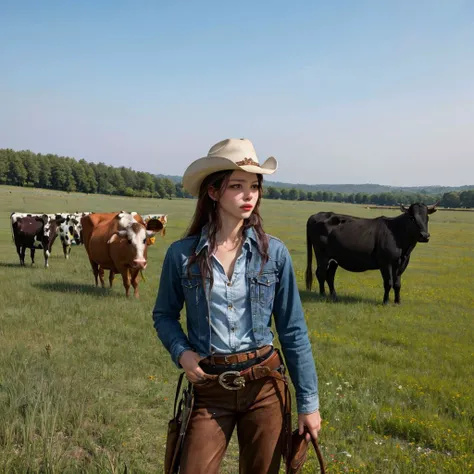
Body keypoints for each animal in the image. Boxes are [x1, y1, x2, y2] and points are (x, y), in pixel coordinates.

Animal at [308, 203, 436, 304]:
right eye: (412, 218)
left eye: (427, 217)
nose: (425, 236)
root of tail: (317, 215)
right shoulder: (385, 263)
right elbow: (388, 282)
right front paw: (385, 302)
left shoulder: (401, 263)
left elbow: (397, 284)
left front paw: (397, 301)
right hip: (322, 255)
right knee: (321, 273)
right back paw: (322, 295)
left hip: (334, 259)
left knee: (330, 276)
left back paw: (334, 296)